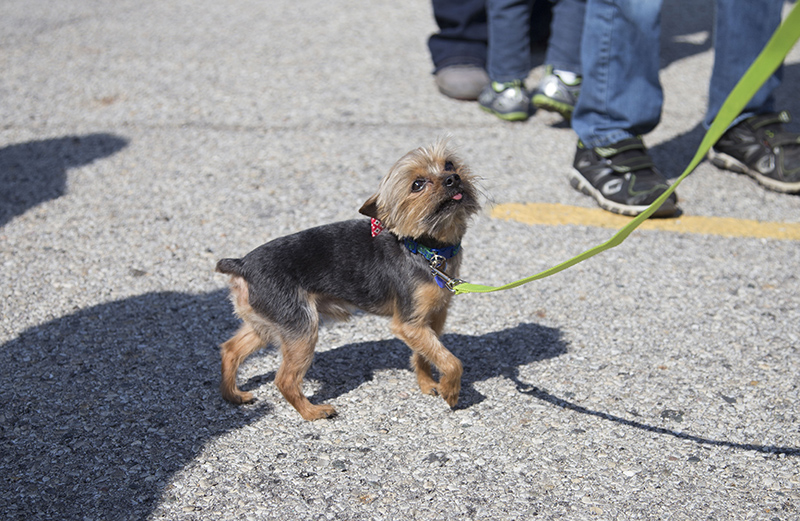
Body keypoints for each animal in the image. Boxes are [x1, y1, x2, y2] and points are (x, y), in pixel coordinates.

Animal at [216, 141, 478, 418]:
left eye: (449, 164)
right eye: (417, 184)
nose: (453, 178)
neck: (426, 249)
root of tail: (242, 265)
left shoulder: (432, 317)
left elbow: (426, 355)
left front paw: (427, 384)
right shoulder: (409, 323)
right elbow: (451, 361)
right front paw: (451, 390)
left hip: (267, 323)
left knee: (230, 350)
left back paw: (233, 394)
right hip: (301, 327)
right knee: (285, 379)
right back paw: (313, 412)